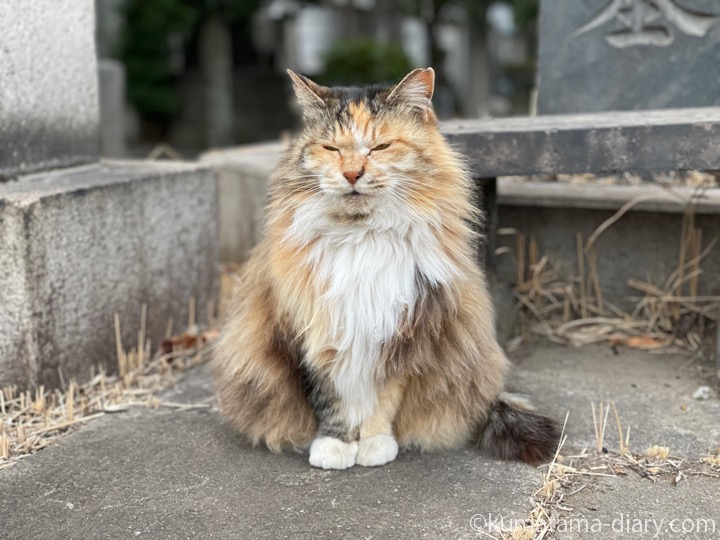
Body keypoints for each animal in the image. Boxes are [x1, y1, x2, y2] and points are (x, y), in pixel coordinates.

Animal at [211, 67, 560, 468]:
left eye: (379, 148)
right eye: (332, 149)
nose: (351, 174)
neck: (362, 237)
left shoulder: (404, 333)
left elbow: (384, 400)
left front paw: (375, 443)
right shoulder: (309, 333)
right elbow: (330, 400)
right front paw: (335, 447)